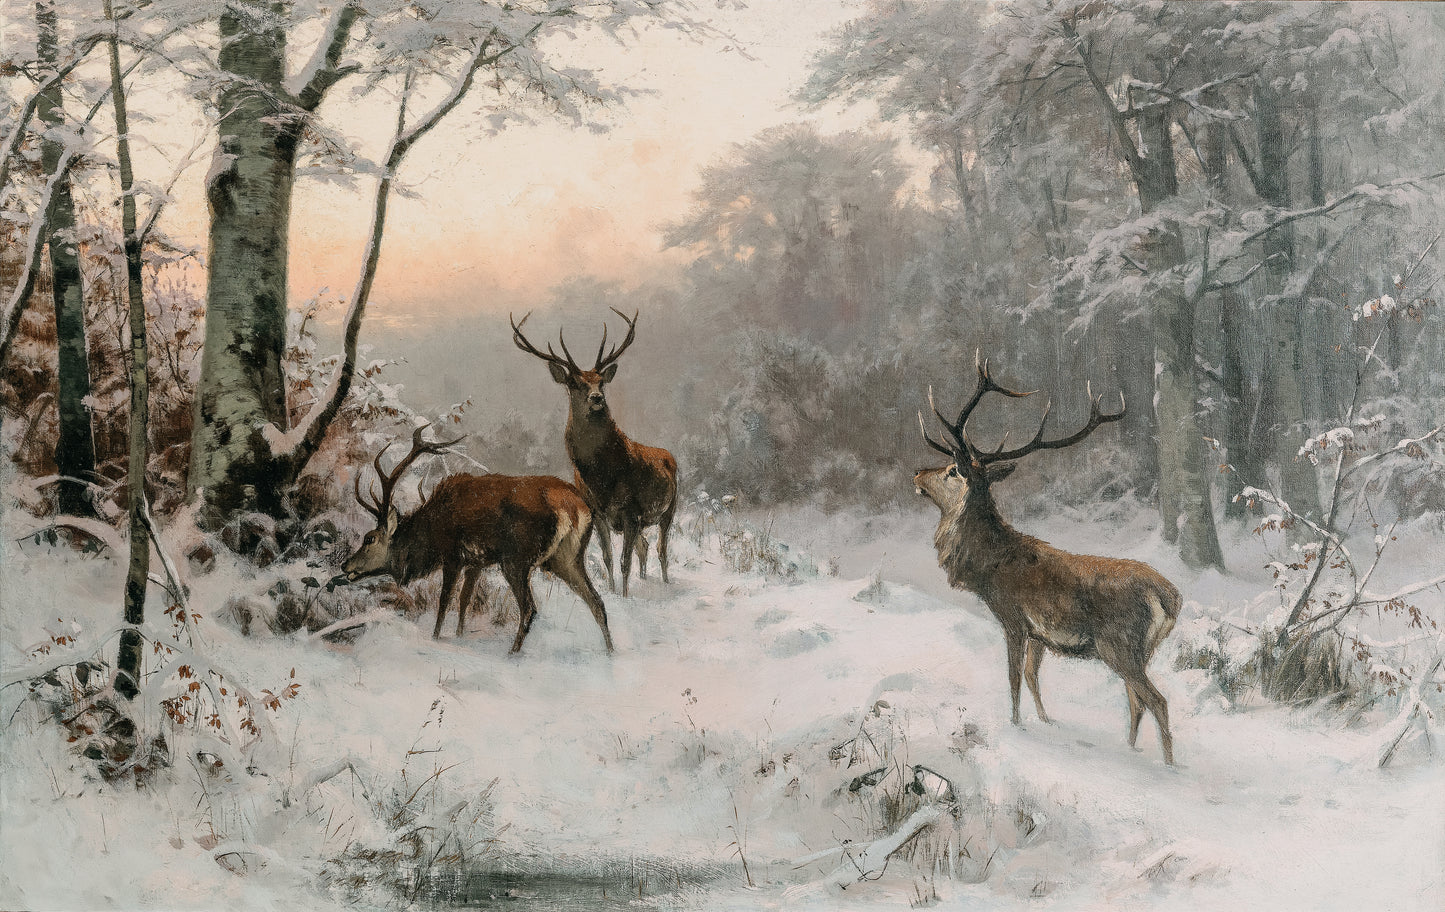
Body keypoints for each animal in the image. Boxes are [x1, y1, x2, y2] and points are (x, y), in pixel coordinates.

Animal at [340, 426, 614, 654]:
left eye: (370, 538)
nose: (345, 565)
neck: (430, 533)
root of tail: (574, 505)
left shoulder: (452, 555)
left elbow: (445, 600)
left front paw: (436, 638)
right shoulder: (476, 562)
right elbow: (464, 600)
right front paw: (459, 635)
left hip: (517, 559)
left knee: (529, 608)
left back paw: (512, 654)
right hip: (567, 558)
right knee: (597, 602)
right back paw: (610, 652)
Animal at [511, 307, 678, 598]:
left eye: (601, 382)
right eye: (575, 383)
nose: (597, 398)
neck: (603, 477)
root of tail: (669, 456)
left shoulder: (631, 511)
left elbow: (624, 562)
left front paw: (625, 596)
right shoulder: (598, 512)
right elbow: (608, 558)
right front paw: (613, 592)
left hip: (671, 508)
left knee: (661, 549)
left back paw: (666, 582)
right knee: (645, 547)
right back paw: (646, 579)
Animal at [915, 355, 1181, 764]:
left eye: (951, 471)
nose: (916, 472)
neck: (988, 568)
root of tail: (1170, 597)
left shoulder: (1012, 617)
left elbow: (1012, 677)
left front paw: (1015, 725)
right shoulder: (1040, 633)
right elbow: (1032, 675)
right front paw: (1044, 720)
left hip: (1119, 643)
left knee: (1157, 701)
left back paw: (1168, 767)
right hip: (1142, 650)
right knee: (1136, 701)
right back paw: (1131, 749)